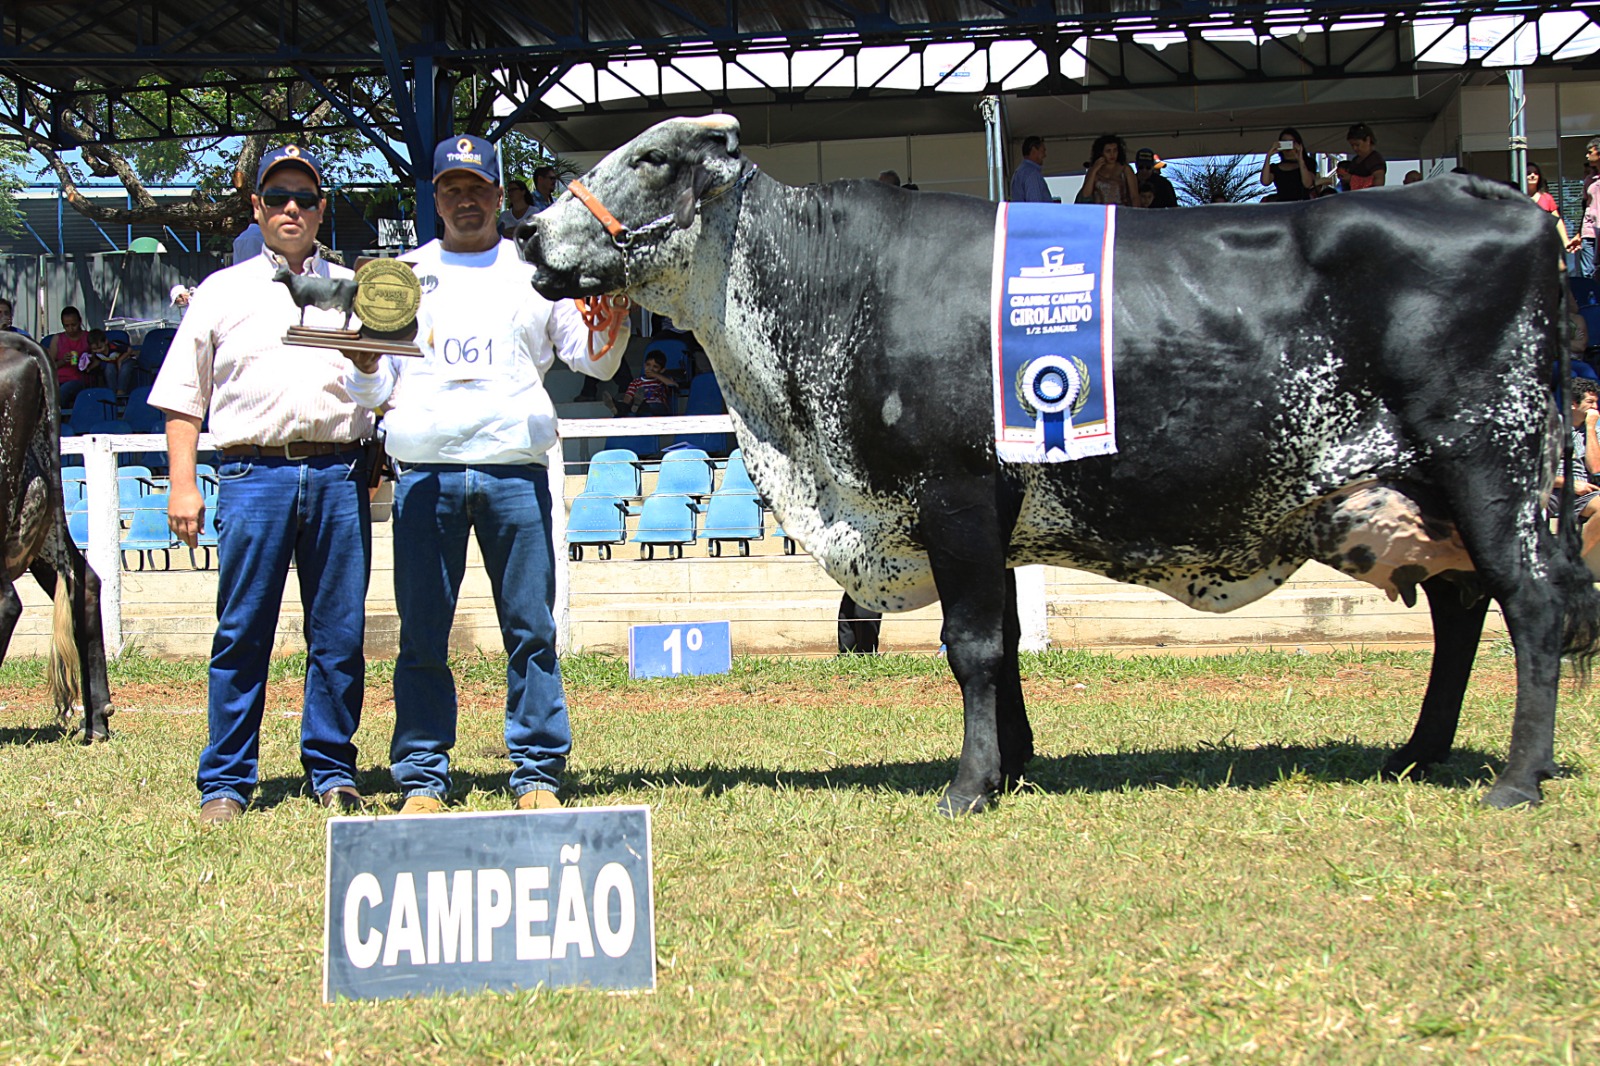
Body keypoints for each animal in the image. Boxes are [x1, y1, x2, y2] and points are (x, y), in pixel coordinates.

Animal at [524, 116, 1600, 809]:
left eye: (652, 158)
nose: (530, 230)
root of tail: (1491, 194)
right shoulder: (989, 513)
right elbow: (1000, 647)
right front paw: (1014, 764)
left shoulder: (955, 490)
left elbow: (969, 644)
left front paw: (968, 788)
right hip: (1423, 489)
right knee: (1463, 608)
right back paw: (1419, 755)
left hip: (1490, 461)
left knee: (1532, 605)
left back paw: (1513, 780)